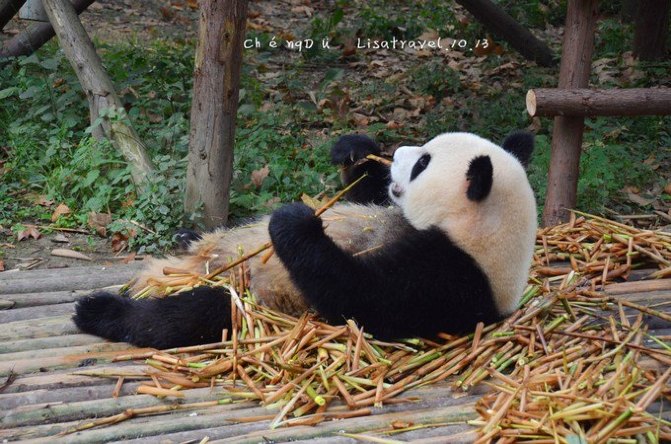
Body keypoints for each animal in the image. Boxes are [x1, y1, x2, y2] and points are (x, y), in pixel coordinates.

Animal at [73, 130, 540, 348]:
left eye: (423, 162)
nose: (399, 154)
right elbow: (366, 196)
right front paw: (356, 150)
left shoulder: (451, 276)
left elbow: (360, 297)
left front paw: (294, 221)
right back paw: (187, 236)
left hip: (254, 297)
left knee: (198, 312)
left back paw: (102, 310)